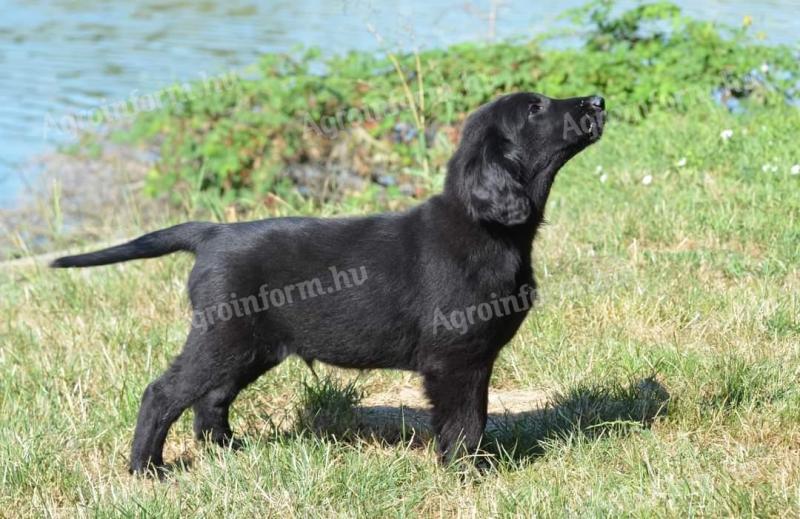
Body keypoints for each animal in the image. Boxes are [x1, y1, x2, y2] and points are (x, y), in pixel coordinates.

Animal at [53, 92, 604, 476]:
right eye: (535, 108)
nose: (597, 101)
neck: (485, 227)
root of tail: (212, 233)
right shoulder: (454, 359)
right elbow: (464, 423)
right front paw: (466, 474)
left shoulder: (475, 359)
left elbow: (477, 416)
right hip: (221, 339)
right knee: (163, 394)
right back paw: (147, 469)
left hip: (251, 346)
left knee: (211, 400)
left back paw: (229, 450)